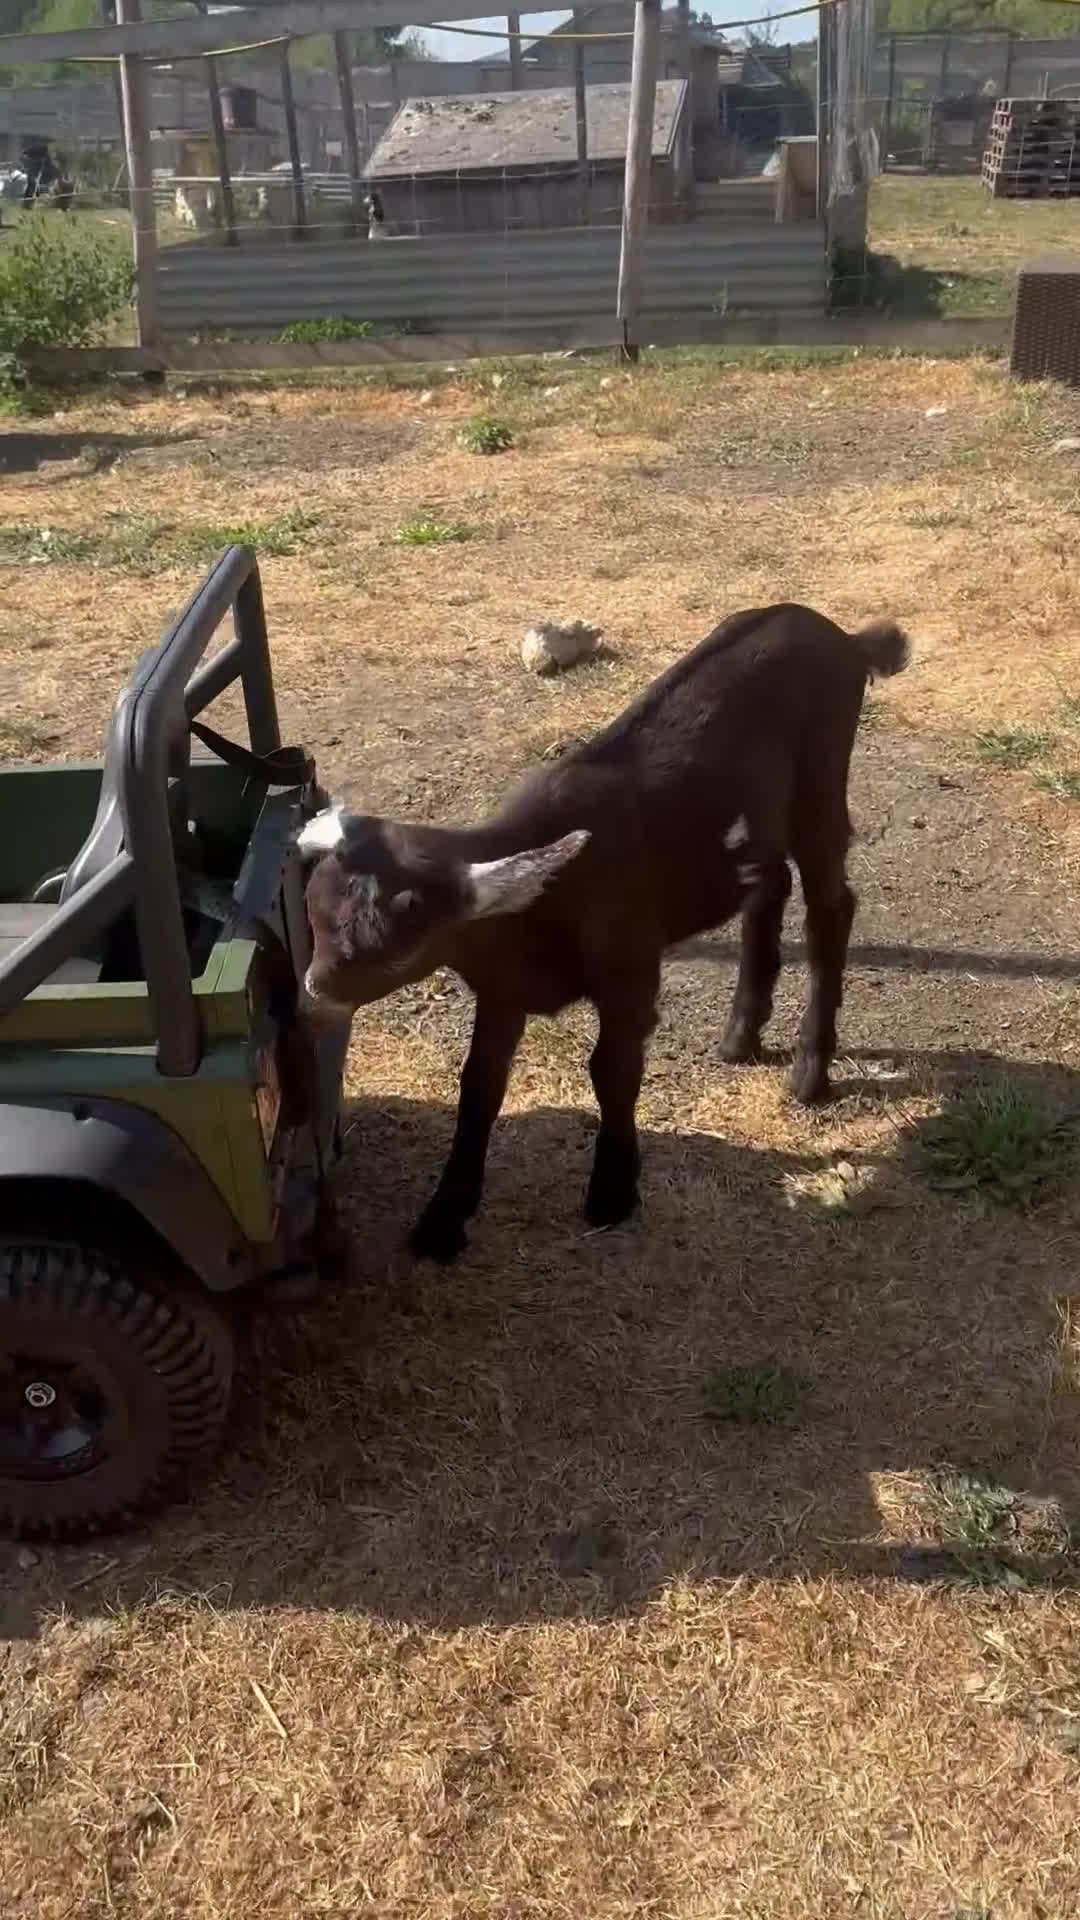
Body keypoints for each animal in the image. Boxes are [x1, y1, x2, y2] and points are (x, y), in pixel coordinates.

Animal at [299, 603, 910, 1263]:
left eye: (391, 951)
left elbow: (611, 1070)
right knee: (768, 885)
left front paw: (614, 1191)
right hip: (758, 822)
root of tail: (842, 637)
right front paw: (442, 1221)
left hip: (821, 786)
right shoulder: (503, 990)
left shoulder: (631, 973)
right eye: (314, 920)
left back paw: (809, 1072)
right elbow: (479, 1087)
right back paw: (740, 1036)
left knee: (830, 907)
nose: (311, 996)